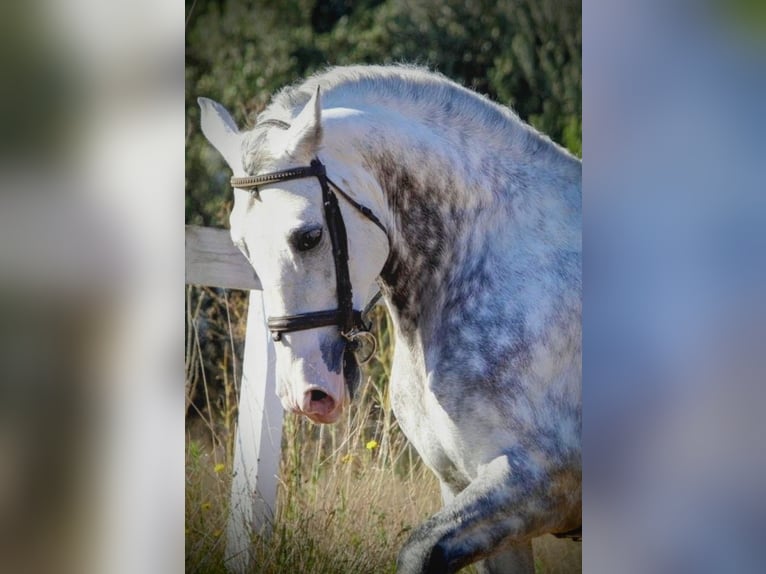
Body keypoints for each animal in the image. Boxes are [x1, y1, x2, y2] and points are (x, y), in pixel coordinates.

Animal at [199, 65, 581, 574]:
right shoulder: (466, 489)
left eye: (309, 236)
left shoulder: (541, 482)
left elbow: (419, 549)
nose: (307, 395)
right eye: (241, 246)